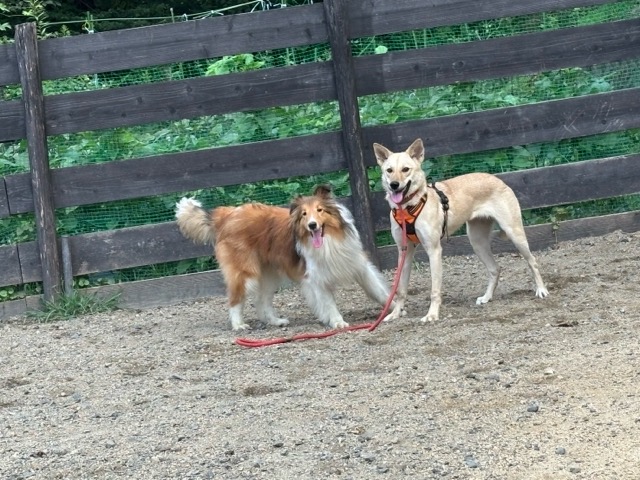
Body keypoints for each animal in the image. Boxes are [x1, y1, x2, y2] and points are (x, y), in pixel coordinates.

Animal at [175, 185, 391, 330]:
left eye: (319, 210)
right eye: (304, 214)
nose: (312, 225)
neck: (329, 241)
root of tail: (226, 214)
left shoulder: (357, 264)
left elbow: (378, 290)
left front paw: (393, 307)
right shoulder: (316, 278)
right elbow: (329, 303)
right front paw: (337, 321)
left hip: (269, 275)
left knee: (261, 301)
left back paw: (275, 321)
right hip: (245, 273)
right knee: (235, 299)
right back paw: (238, 325)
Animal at [373, 138, 549, 323]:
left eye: (405, 169)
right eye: (389, 170)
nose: (394, 185)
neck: (407, 208)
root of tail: (498, 180)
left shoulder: (434, 250)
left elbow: (435, 290)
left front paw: (432, 314)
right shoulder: (404, 252)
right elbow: (400, 289)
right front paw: (395, 314)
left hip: (515, 234)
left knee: (532, 261)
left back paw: (541, 289)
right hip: (477, 242)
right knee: (495, 269)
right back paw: (487, 297)